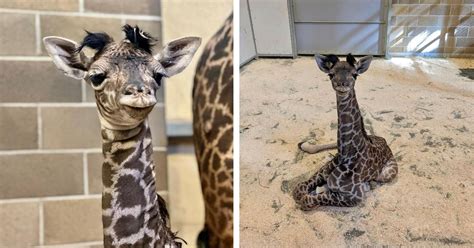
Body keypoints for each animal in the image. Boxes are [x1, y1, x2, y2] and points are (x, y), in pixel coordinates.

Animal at [292, 53, 396, 210]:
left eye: (355, 74)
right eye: (330, 74)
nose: (342, 85)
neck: (345, 155)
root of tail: (385, 141)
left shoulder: (355, 197)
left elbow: (308, 199)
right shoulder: (322, 172)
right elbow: (298, 190)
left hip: (388, 174)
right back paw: (304, 145)